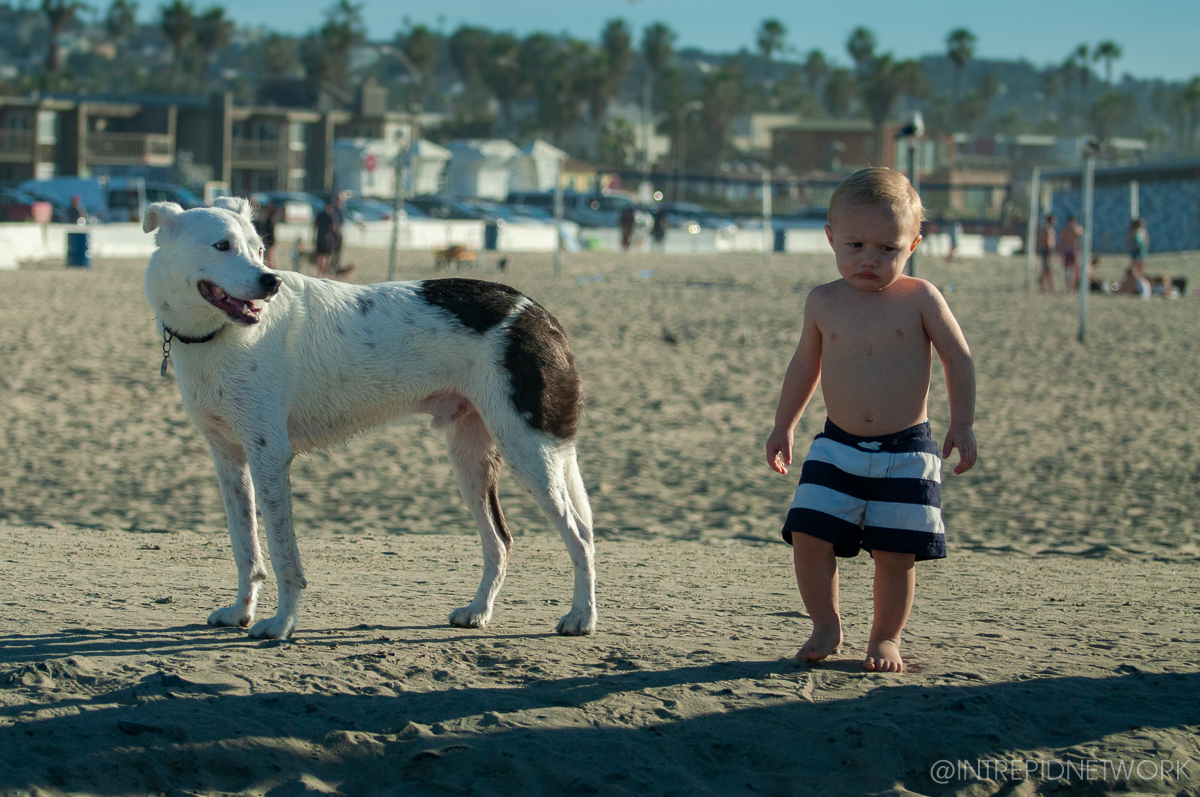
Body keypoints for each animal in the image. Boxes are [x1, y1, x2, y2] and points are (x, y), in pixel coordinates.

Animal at [145, 195, 595, 638]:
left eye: (258, 249)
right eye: (222, 246)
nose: (270, 282)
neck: (219, 335)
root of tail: (539, 313)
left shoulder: (269, 457)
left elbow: (282, 553)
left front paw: (282, 624)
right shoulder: (229, 459)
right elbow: (245, 547)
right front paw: (241, 612)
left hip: (529, 450)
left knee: (581, 535)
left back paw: (581, 617)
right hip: (471, 459)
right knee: (500, 541)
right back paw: (479, 610)